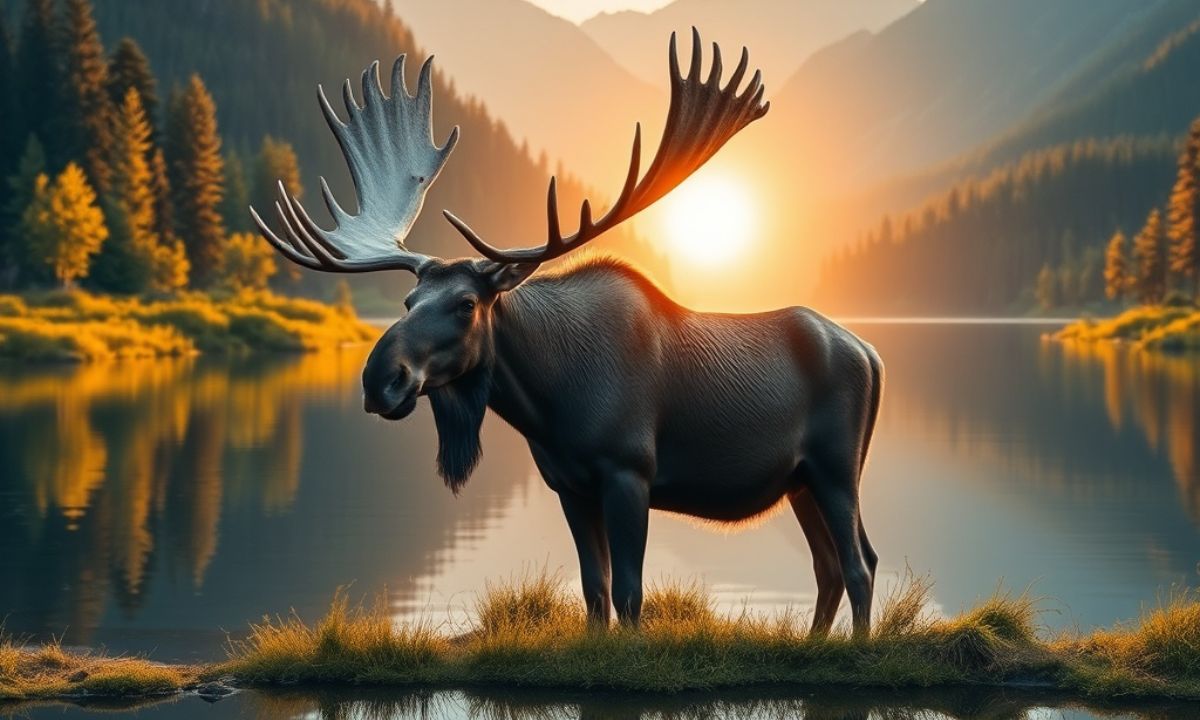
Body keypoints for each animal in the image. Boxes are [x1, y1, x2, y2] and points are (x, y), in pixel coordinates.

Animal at [251, 30, 883, 635]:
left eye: (466, 304)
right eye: (408, 301)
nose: (380, 379)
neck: (548, 403)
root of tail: (872, 353)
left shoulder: (629, 472)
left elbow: (628, 594)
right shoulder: (569, 485)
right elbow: (594, 592)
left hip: (835, 468)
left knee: (859, 564)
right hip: (801, 480)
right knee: (832, 565)